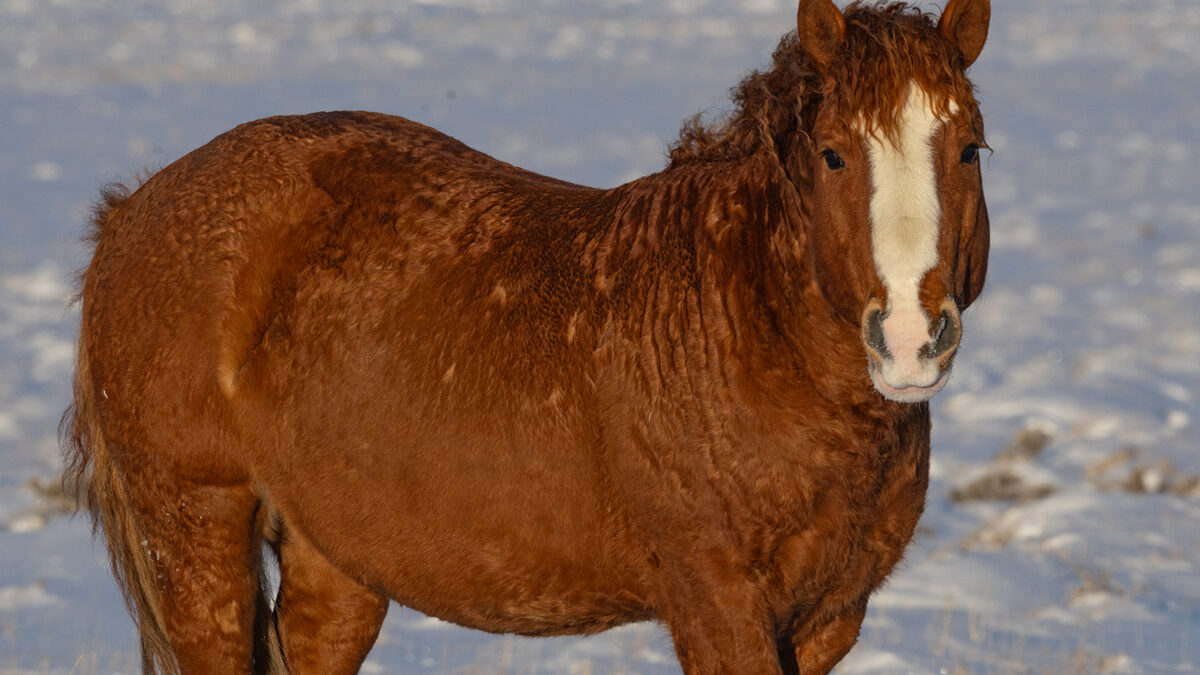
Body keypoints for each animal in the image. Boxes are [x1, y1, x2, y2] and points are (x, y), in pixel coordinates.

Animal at [60, 2, 988, 667]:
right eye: (834, 154)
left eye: (970, 149)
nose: (912, 339)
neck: (745, 330)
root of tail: (131, 210)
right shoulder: (718, 605)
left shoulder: (831, 616)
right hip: (197, 528)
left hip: (336, 560)